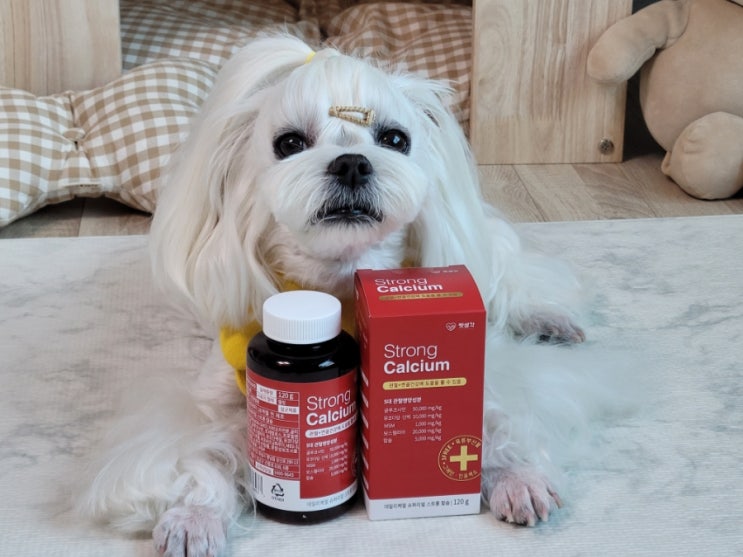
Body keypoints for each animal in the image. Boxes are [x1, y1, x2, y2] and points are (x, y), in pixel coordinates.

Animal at [78, 35, 626, 557]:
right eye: (289, 143)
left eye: (396, 139)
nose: (352, 164)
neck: (340, 289)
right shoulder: (207, 404)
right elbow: (202, 455)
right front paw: (194, 516)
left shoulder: (488, 372)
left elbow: (496, 414)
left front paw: (515, 474)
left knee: (515, 281)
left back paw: (549, 319)